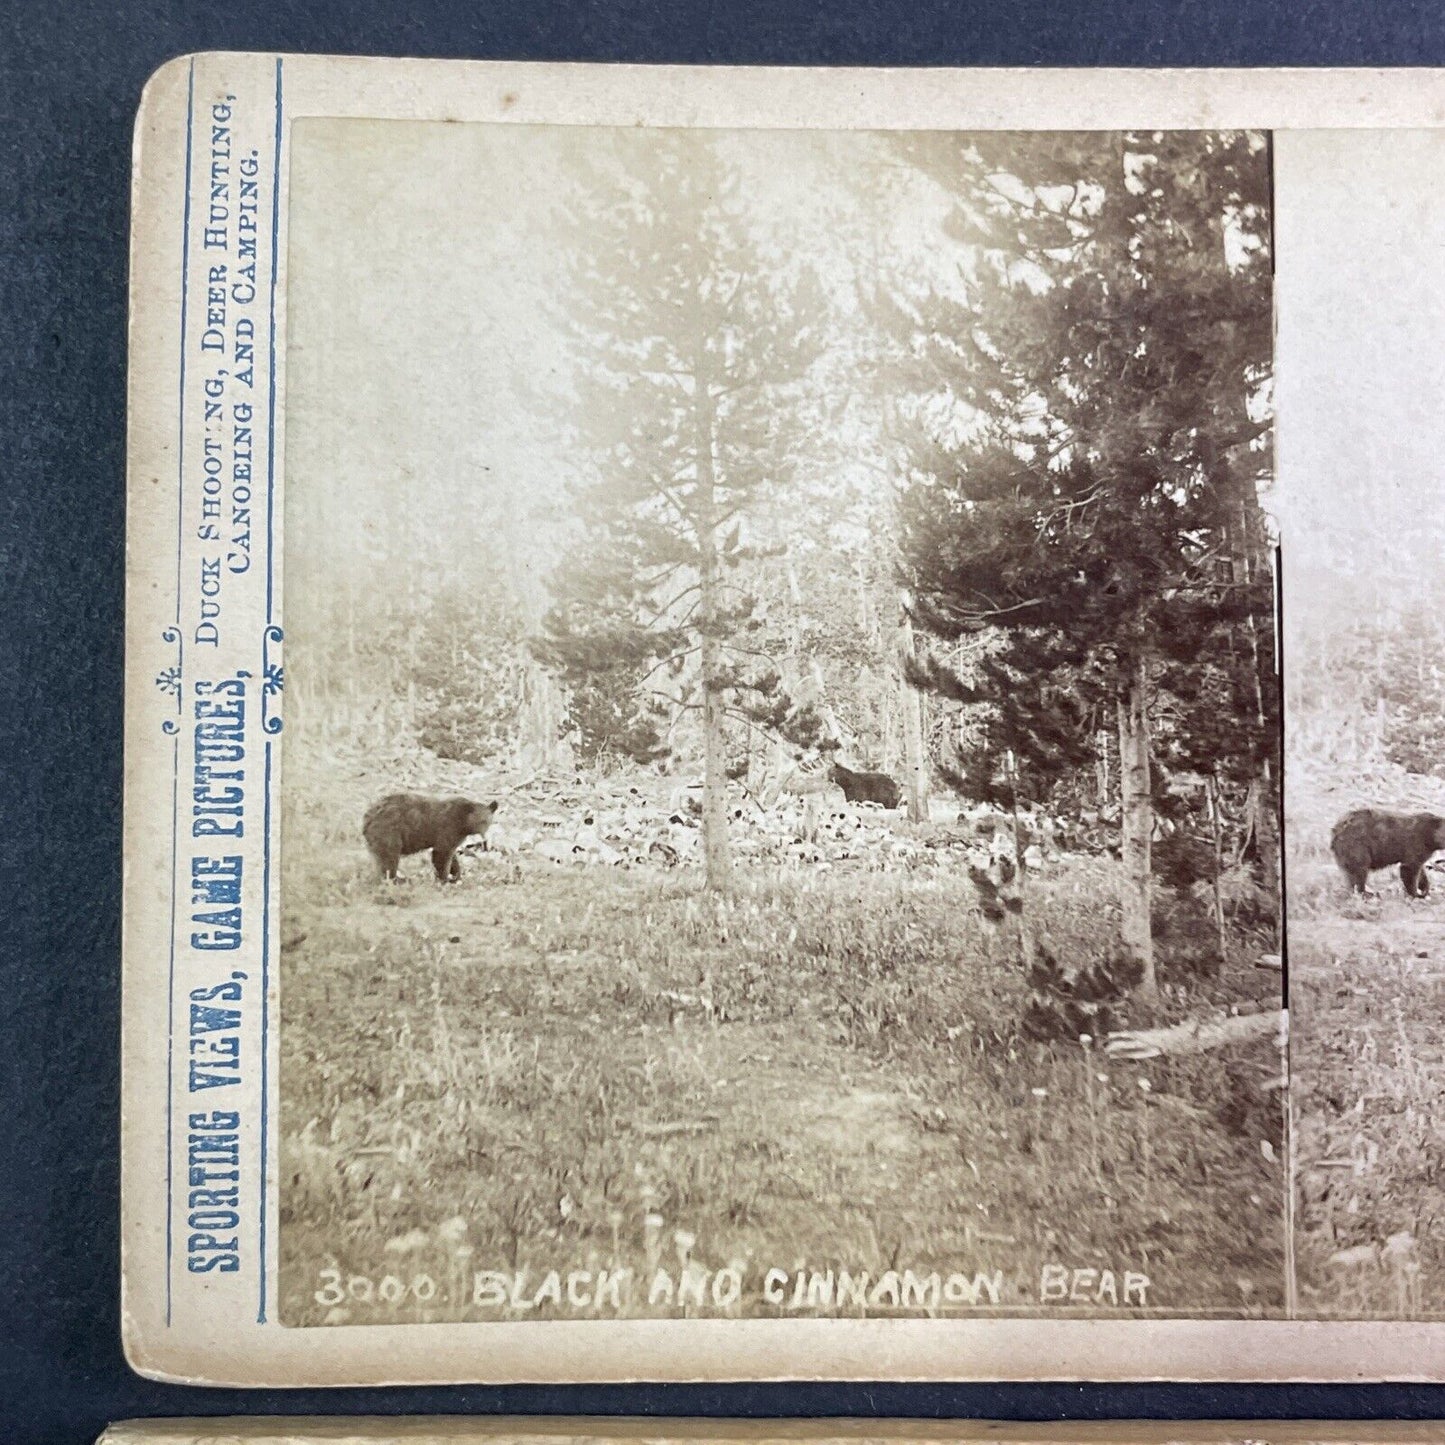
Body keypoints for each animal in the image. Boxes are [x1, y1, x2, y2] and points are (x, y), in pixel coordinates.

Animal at [359, 791, 497, 878]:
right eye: (481, 821)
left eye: (488, 821)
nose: (484, 838)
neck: (464, 824)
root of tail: (368, 816)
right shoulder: (448, 828)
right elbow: (442, 854)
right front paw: (443, 878)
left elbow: (451, 855)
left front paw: (456, 875)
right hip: (389, 831)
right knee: (389, 858)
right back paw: (394, 879)